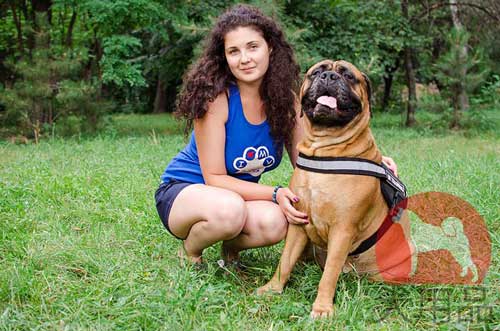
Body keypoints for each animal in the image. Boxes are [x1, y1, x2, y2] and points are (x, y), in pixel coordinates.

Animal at [256, 59, 404, 320]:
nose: (328, 77)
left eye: (348, 75)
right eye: (316, 72)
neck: (325, 148)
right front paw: (273, 288)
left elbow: (329, 275)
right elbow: (285, 261)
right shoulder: (298, 223)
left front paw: (322, 308)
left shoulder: (343, 230)